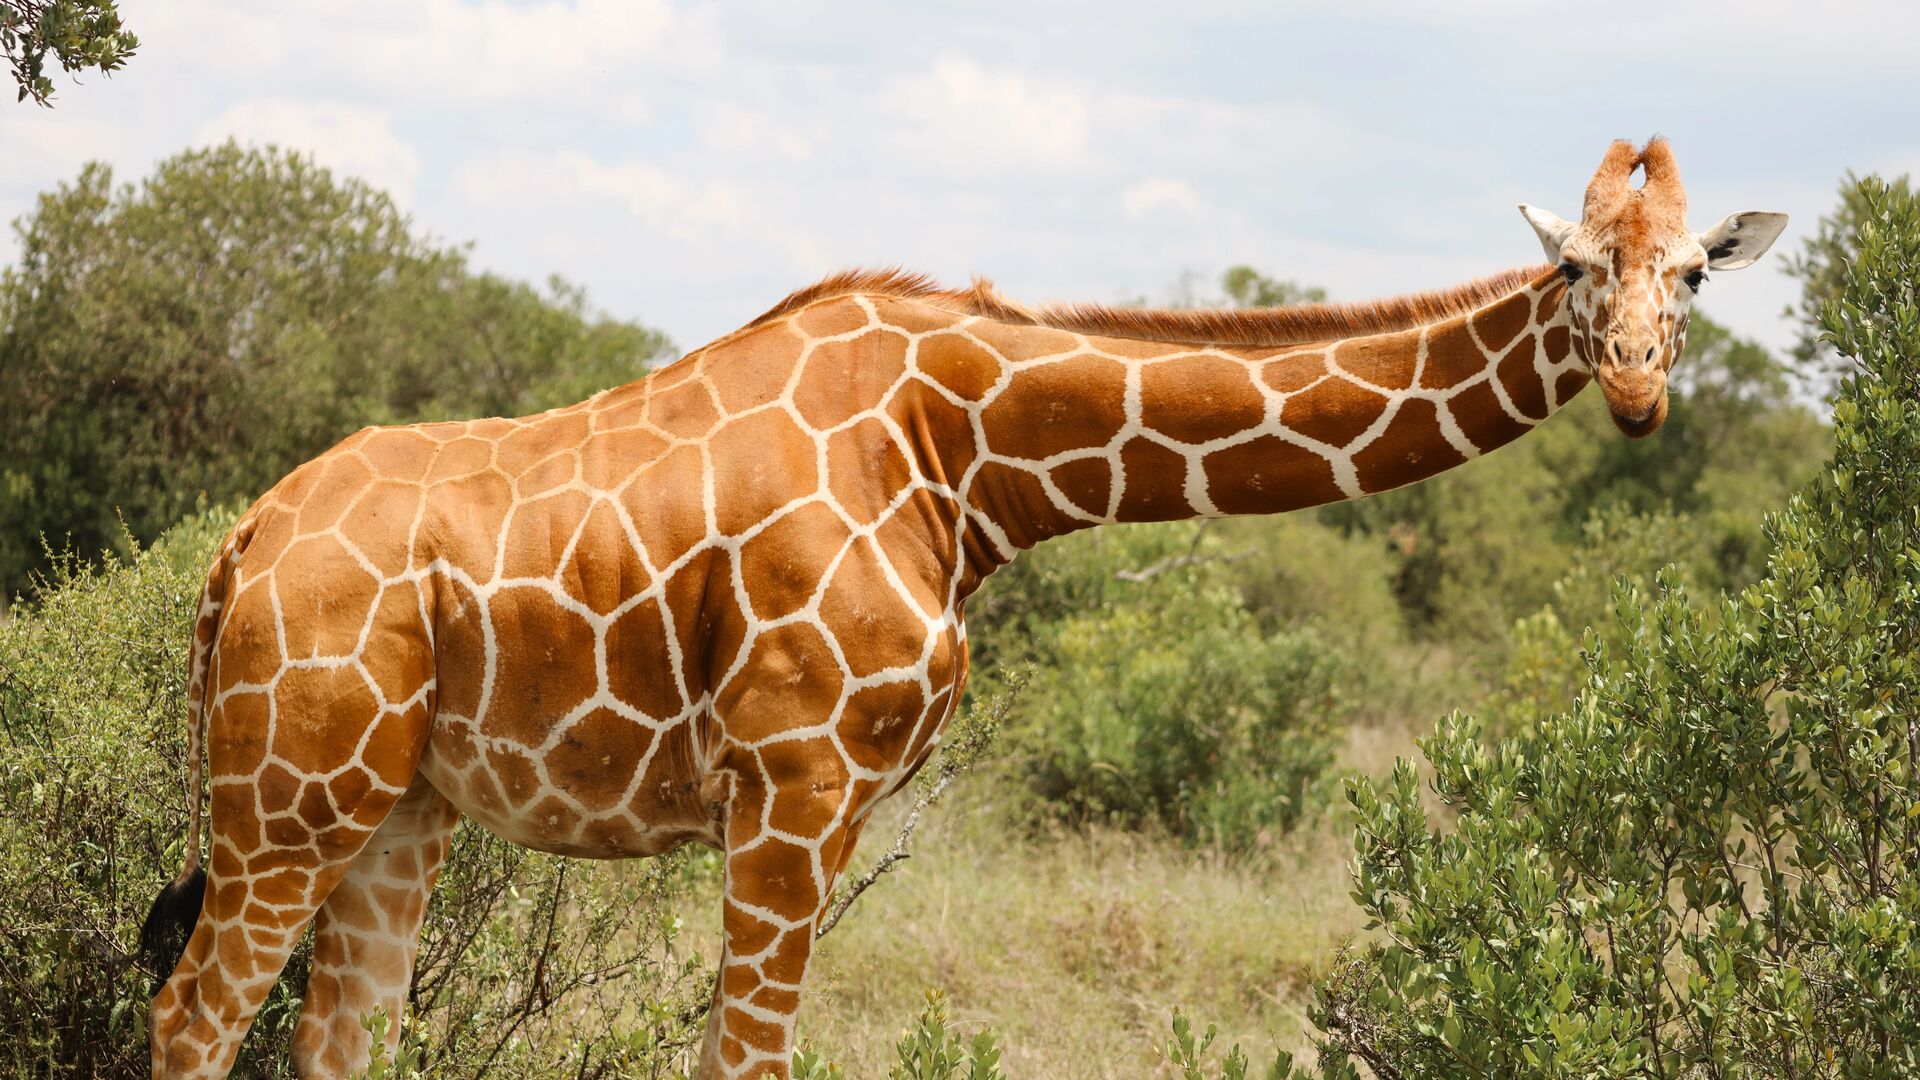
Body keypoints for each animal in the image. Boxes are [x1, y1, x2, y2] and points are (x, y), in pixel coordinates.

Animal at [140, 138, 1786, 1078]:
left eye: (1695, 279)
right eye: (1573, 269)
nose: (1636, 389)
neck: (967, 454)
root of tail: (236, 549)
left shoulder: (808, 795)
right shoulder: (795, 776)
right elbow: (747, 1065)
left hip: (398, 806)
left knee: (334, 1043)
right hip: (288, 800)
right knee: (191, 1020)